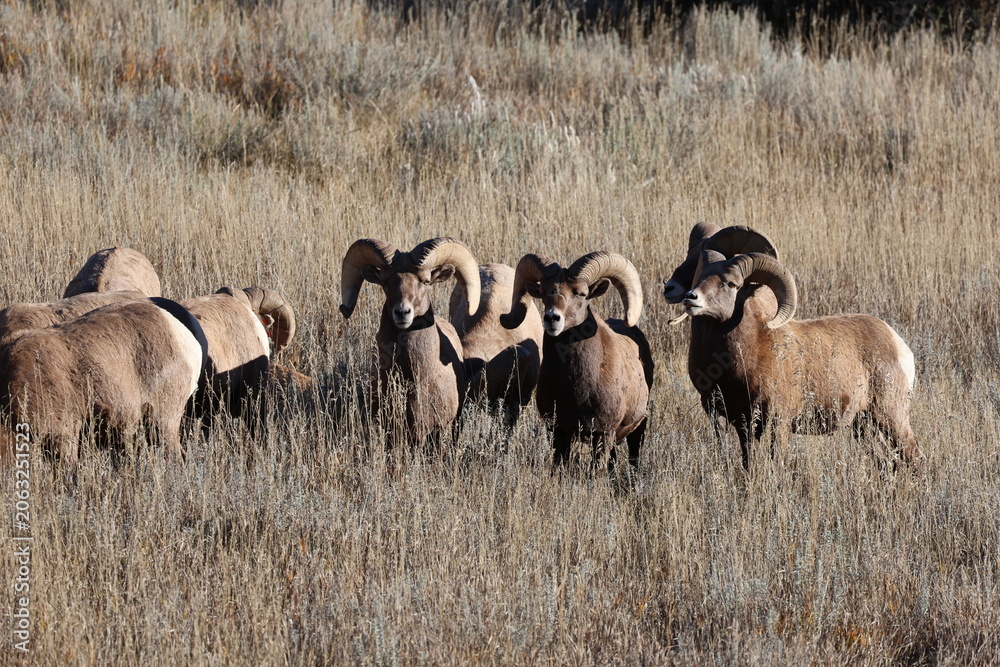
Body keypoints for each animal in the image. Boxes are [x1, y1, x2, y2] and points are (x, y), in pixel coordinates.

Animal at [501, 251, 654, 473]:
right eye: (544, 292)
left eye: (581, 294)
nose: (552, 318)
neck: (576, 385)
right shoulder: (558, 431)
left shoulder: (603, 433)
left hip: (637, 427)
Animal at [680, 247, 924, 469]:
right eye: (701, 278)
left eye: (731, 284)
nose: (691, 298)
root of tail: (899, 344)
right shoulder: (744, 426)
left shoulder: (778, 421)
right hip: (863, 425)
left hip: (891, 415)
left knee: (914, 456)